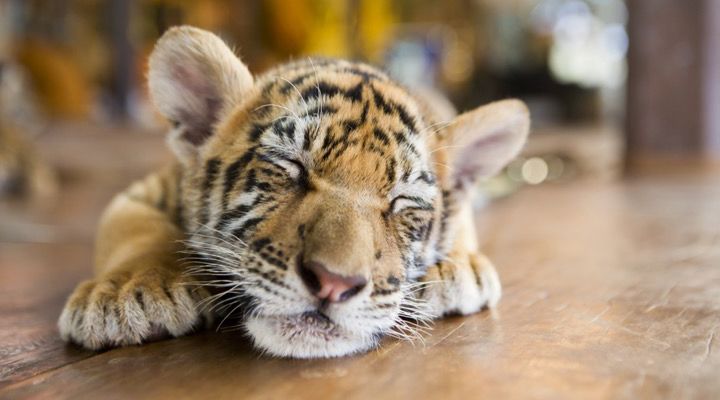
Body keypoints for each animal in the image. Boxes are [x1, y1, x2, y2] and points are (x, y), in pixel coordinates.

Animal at [58, 26, 529, 358]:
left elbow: (461, 221)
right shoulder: (141, 192)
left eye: (401, 203)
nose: (334, 284)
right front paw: (127, 292)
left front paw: (458, 267)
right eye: (291, 167)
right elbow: (134, 230)